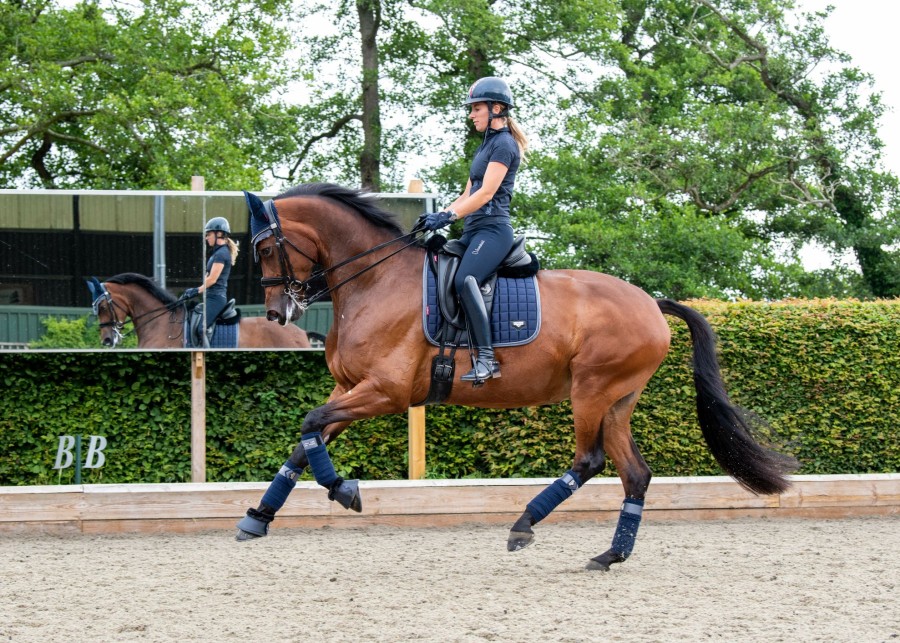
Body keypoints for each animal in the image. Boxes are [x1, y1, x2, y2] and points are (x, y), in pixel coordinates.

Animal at [236, 184, 800, 572]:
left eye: (263, 250)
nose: (278, 312)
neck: (375, 280)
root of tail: (650, 303)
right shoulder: (350, 388)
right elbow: (305, 440)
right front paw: (258, 518)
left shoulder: (386, 392)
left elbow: (311, 425)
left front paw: (344, 490)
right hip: (618, 400)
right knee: (635, 474)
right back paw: (609, 556)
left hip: (591, 391)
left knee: (589, 460)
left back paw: (524, 525)